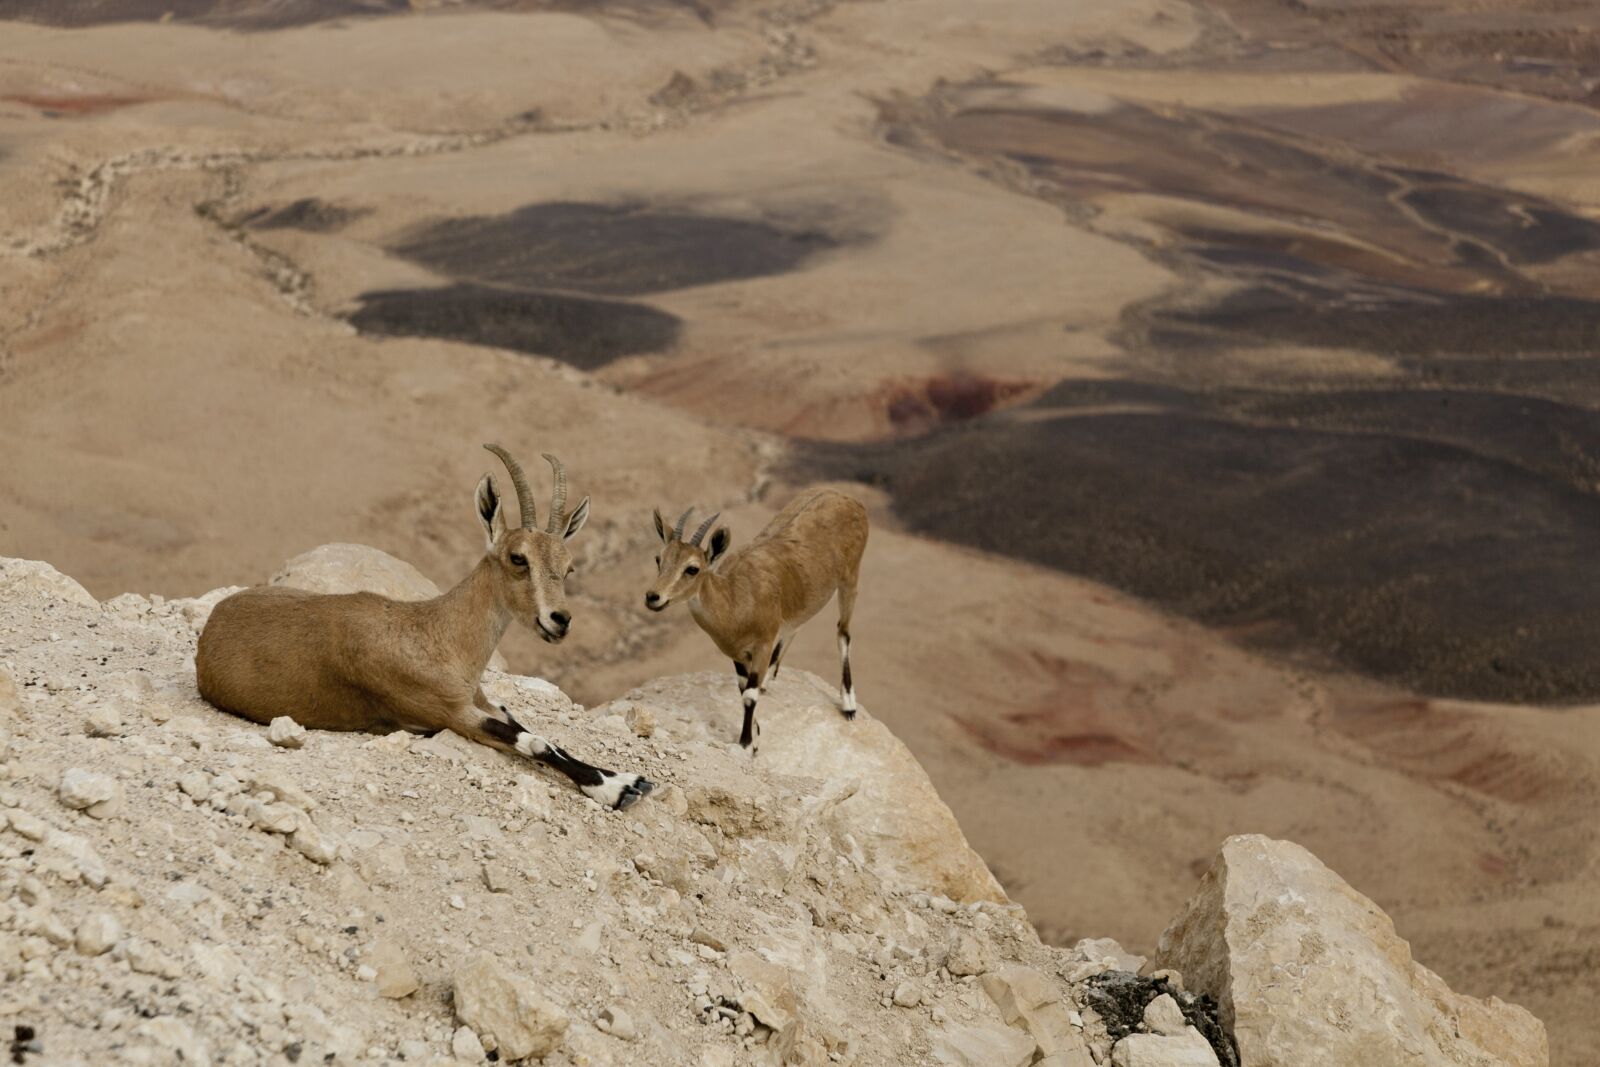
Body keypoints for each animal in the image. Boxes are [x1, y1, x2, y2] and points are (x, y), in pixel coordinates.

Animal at [195, 444, 654, 810]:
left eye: (569, 566)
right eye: (517, 558)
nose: (559, 621)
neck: (436, 636)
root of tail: (214, 621)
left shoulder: (480, 700)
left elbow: (538, 732)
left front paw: (626, 779)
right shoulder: (448, 713)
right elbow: (533, 741)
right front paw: (616, 791)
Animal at [644, 488, 868, 752]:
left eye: (692, 568)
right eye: (658, 559)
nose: (653, 597)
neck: (735, 601)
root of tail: (844, 496)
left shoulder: (762, 643)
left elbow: (749, 696)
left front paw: (746, 742)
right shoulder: (738, 654)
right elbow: (743, 688)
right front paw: (755, 732)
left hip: (850, 578)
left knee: (843, 633)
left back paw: (849, 704)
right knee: (796, 626)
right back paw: (769, 677)